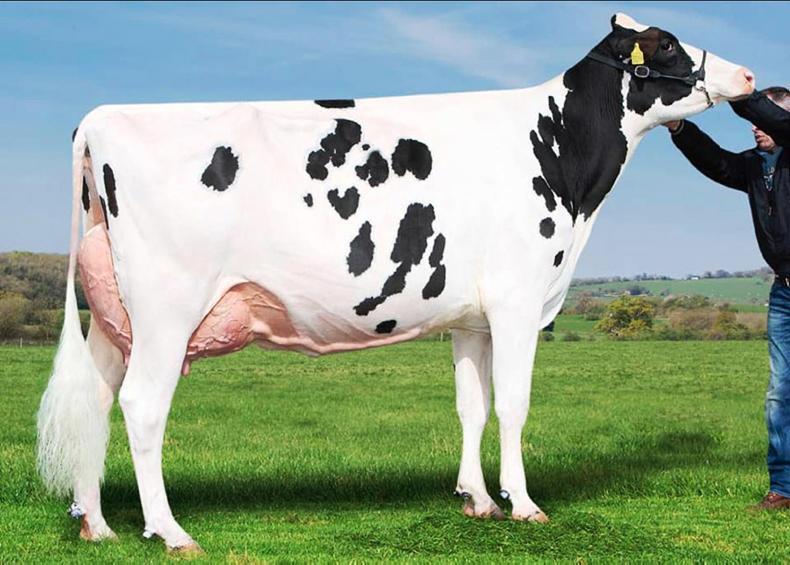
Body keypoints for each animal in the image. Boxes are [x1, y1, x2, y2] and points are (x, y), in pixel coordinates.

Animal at [37, 13, 754, 554]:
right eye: (667, 44)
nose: (748, 75)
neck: (556, 150)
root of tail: (101, 118)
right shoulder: (519, 300)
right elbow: (514, 404)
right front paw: (523, 503)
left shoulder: (470, 318)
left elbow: (472, 405)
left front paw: (477, 499)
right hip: (167, 306)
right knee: (141, 404)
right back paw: (171, 531)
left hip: (114, 314)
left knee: (96, 398)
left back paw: (97, 523)